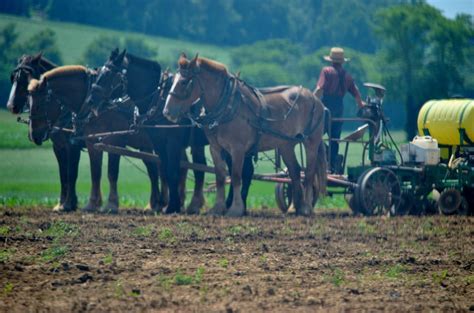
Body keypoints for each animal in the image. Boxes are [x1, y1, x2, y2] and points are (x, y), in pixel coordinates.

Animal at [6, 53, 81, 212]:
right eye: (13, 77)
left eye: (26, 78)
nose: (10, 106)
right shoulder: (58, 146)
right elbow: (63, 174)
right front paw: (62, 203)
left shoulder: (73, 146)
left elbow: (71, 173)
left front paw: (68, 204)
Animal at [27, 65, 161, 212]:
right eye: (29, 104)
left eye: (39, 105)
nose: (34, 135)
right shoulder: (89, 143)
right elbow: (92, 172)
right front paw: (91, 204)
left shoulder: (114, 142)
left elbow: (109, 173)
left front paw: (111, 205)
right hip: (145, 145)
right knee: (154, 169)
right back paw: (154, 204)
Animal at [86, 49, 256, 214]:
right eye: (99, 72)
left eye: (108, 74)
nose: (90, 101)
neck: (158, 99)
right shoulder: (158, 143)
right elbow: (165, 171)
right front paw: (169, 204)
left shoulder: (173, 142)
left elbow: (172, 171)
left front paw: (172, 206)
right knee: (243, 170)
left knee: (242, 171)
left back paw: (235, 205)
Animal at [164, 53, 326, 216]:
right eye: (173, 80)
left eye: (184, 82)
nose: (167, 112)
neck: (228, 106)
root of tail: (314, 97)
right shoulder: (215, 148)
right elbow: (220, 176)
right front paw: (217, 208)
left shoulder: (237, 148)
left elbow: (236, 176)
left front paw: (235, 209)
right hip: (286, 145)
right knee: (295, 171)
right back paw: (295, 207)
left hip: (311, 143)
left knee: (309, 173)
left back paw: (306, 207)